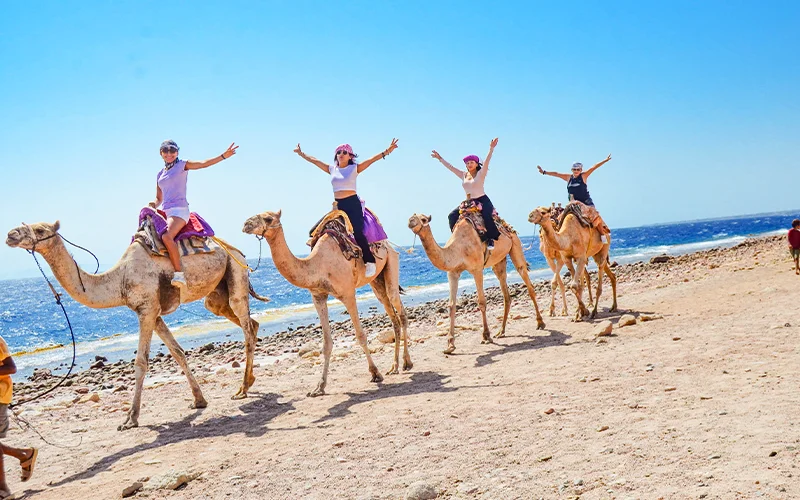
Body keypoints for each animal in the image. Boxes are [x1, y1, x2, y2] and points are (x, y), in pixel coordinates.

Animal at [6, 220, 269, 430]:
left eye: (40, 229)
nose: (11, 234)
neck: (119, 280)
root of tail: (236, 250)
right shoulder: (154, 313)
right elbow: (178, 352)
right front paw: (199, 400)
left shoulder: (146, 310)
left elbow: (141, 362)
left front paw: (130, 419)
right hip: (215, 297)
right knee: (250, 322)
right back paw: (249, 381)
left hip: (236, 272)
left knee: (246, 326)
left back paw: (242, 389)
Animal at [242, 210, 411, 397]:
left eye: (268, 218)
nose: (246, 224)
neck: (317, 265)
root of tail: (388, 244)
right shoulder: (318, 297)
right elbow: (327, 343)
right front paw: (319, 387)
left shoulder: (348, 293)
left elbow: (360, 336)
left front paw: (375, 373)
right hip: (377, 282)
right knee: (392, 315)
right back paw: (394, 366)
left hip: (391, 262)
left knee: (400, 310)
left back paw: (406, 363)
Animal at [407, 213, 545, 354]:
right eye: (412, 216)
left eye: (423, 219)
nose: (410, 221)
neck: (458, 249)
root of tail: (508, 227)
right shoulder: (452, 273)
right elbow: (451, 306)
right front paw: (450, 345)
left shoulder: (477, 269)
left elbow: (482, 302)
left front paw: (486, 336)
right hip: (499, 261)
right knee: (506, 292)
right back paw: (501, 331)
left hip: (515, 246)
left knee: (526, 279)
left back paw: (540, 323)